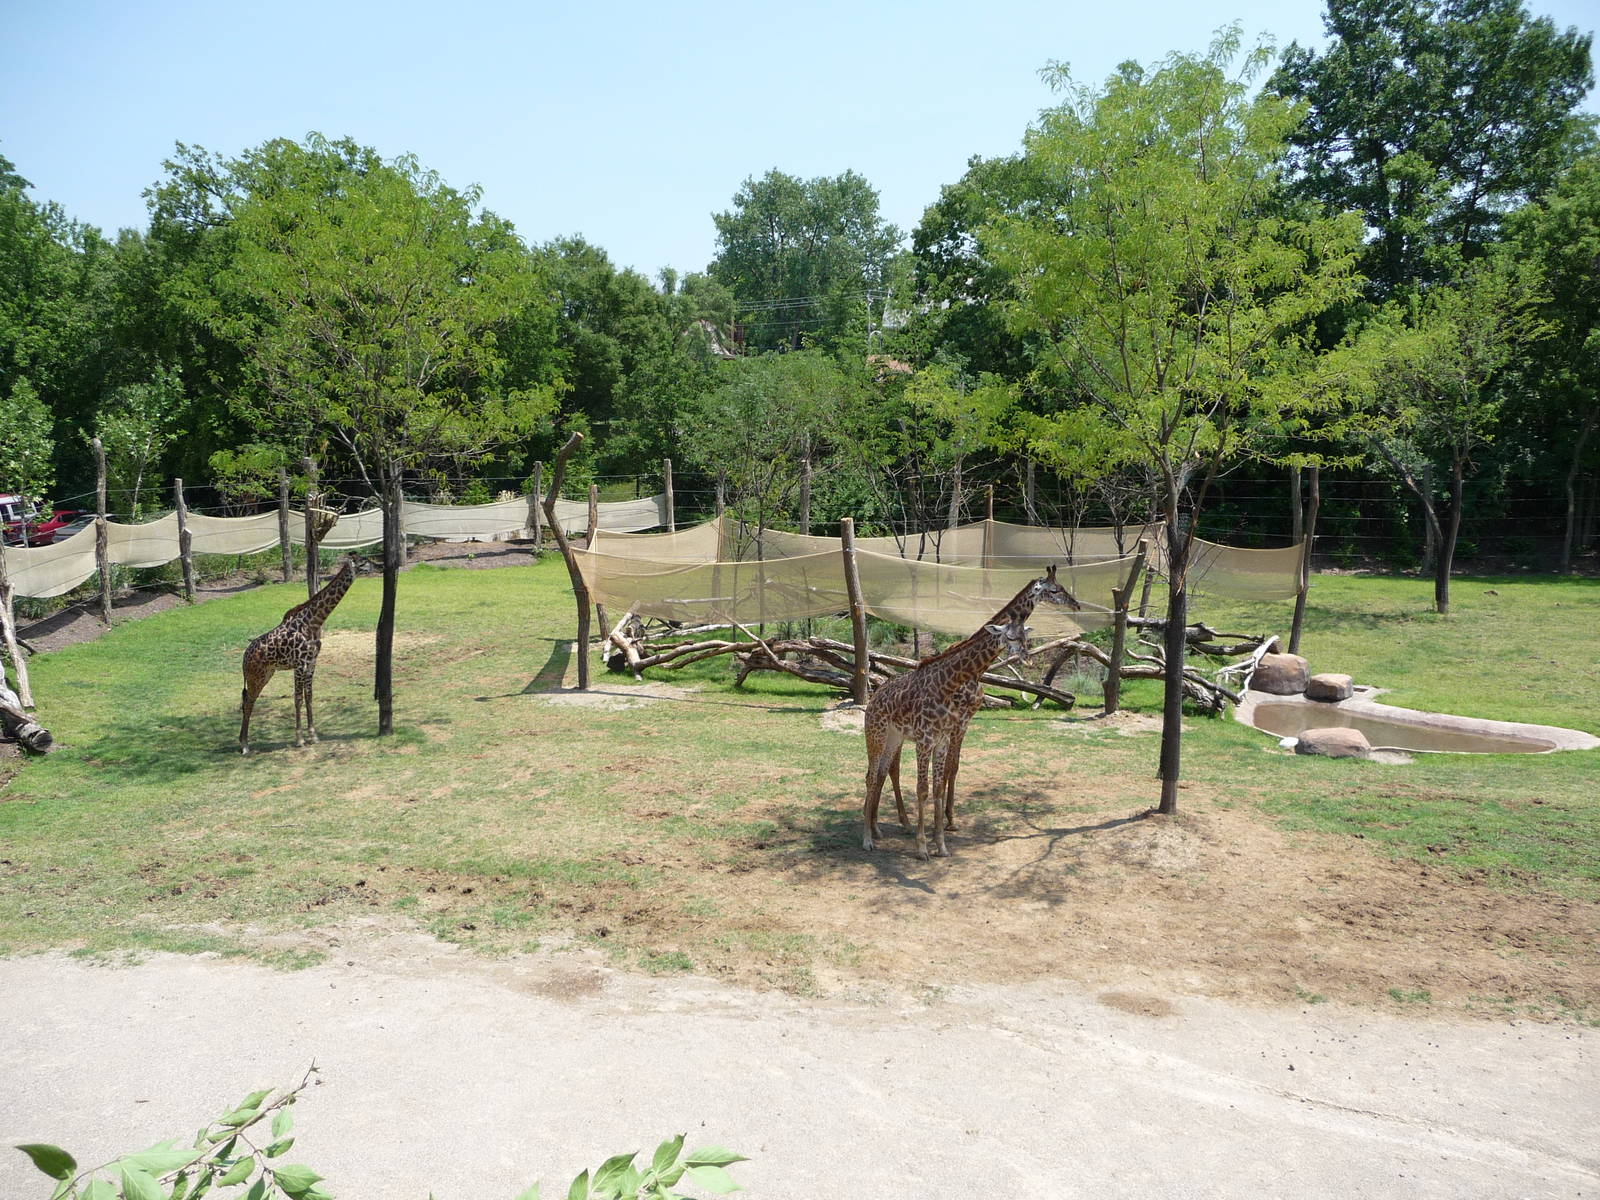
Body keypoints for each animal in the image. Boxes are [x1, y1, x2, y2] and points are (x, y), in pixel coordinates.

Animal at [239, 557, 359, 754]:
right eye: (364, 561)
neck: (313, 622)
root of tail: (244, 658)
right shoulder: (299, 664)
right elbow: (298, 699)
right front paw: (299, 739)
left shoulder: (311, 662)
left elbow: (309, 696)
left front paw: (313, 735)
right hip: (256, 677)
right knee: (248, 703)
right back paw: (244, 745)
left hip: (266, 674)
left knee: (246, 702)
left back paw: (243, 742)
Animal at [863, 566, 1077, 859]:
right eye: (1055, 589)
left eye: (1026, 636)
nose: (1076, 605)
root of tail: (875, 695)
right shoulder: (936, 734)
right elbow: (927, 785)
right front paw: (928, 841)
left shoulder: (947, 733)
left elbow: (941, 782)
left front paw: (941, 840)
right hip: (878, 735)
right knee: (872, 775)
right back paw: (870, 837)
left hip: (895, 737)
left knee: (884, 771)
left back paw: (879, 828)